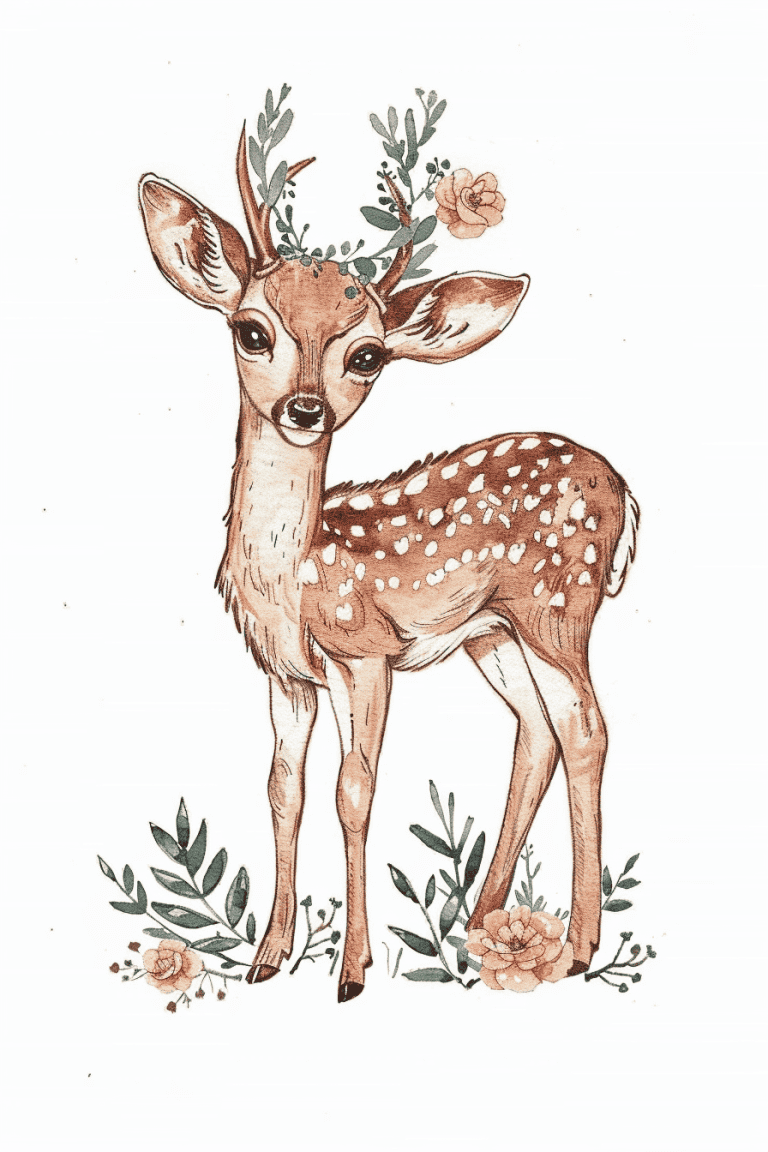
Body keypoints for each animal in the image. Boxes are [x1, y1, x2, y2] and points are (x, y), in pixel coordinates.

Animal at [138, 125, 639, 1002]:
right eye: (251, 330)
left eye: (367, 355)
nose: (305, 409)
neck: (294, 578)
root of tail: (627, 492)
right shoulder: (285, 674)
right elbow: (284, 791)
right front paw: (268, 957)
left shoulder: (365, 651)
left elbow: (355, 791)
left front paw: (352, 970)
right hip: (492, 632)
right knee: (537, 731)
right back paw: (482, 922)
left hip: (559, 604)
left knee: (586, 730)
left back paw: (577, 946)